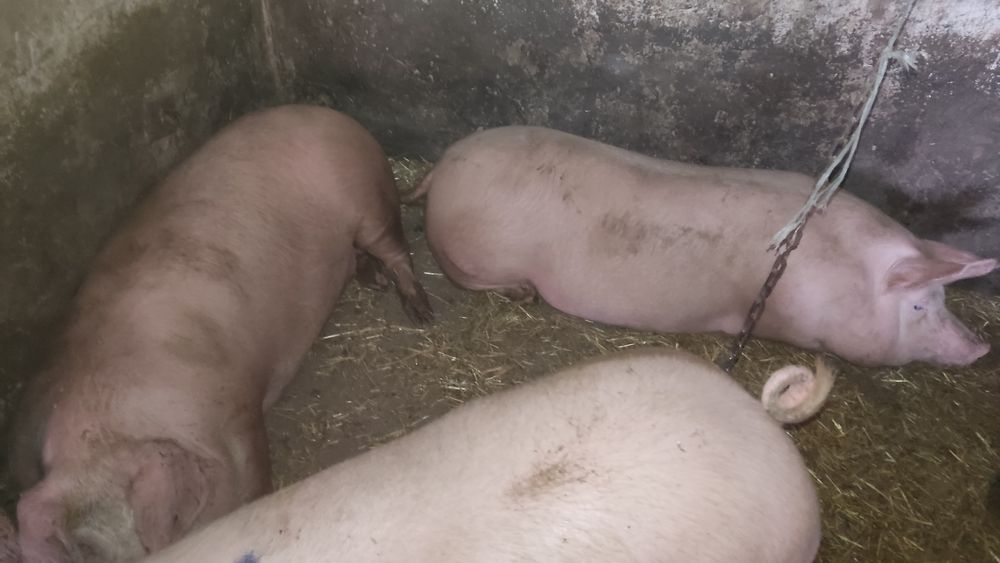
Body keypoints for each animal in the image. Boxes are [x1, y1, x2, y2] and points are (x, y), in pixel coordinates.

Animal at [8, 104, 433, 562]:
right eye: (83, 550)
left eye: (151, 527)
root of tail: (332, 116)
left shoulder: (236, 404)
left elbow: (254, 469)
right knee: (359, 256)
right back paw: (376, 282)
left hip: (369, 198)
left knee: (394, 248)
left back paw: (419, 310)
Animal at [410, 126, 996, 367]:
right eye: (919, 305)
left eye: (944, 300)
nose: (982, 349)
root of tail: (441, 167)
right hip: (471, 252)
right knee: (463, 273)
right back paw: (523, 293)